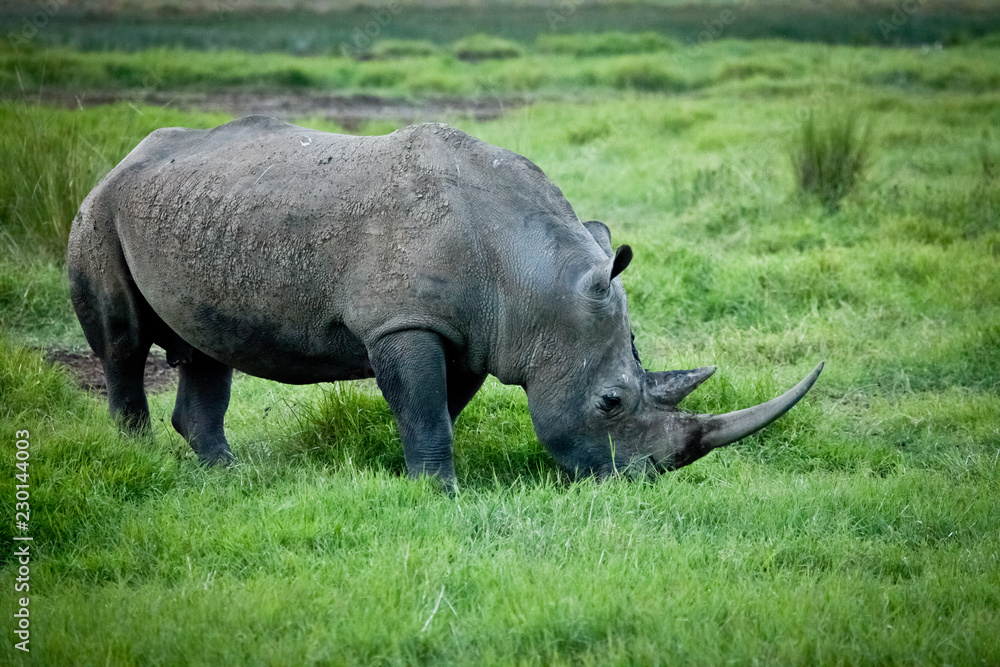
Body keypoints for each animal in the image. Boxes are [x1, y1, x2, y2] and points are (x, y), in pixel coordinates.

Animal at [68, 115, 822, 492]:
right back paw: (137, 457)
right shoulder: (403, 323)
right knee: (124, 343)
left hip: (190, 210)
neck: (534, 275)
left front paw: (415, 477)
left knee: (205, 350)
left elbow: (438, 410)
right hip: (101, 210)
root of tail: (122, 158)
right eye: (610, 402)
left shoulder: (472, 334)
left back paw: (229, 476)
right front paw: (442, 495)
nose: (641, 481)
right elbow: (426, 412)